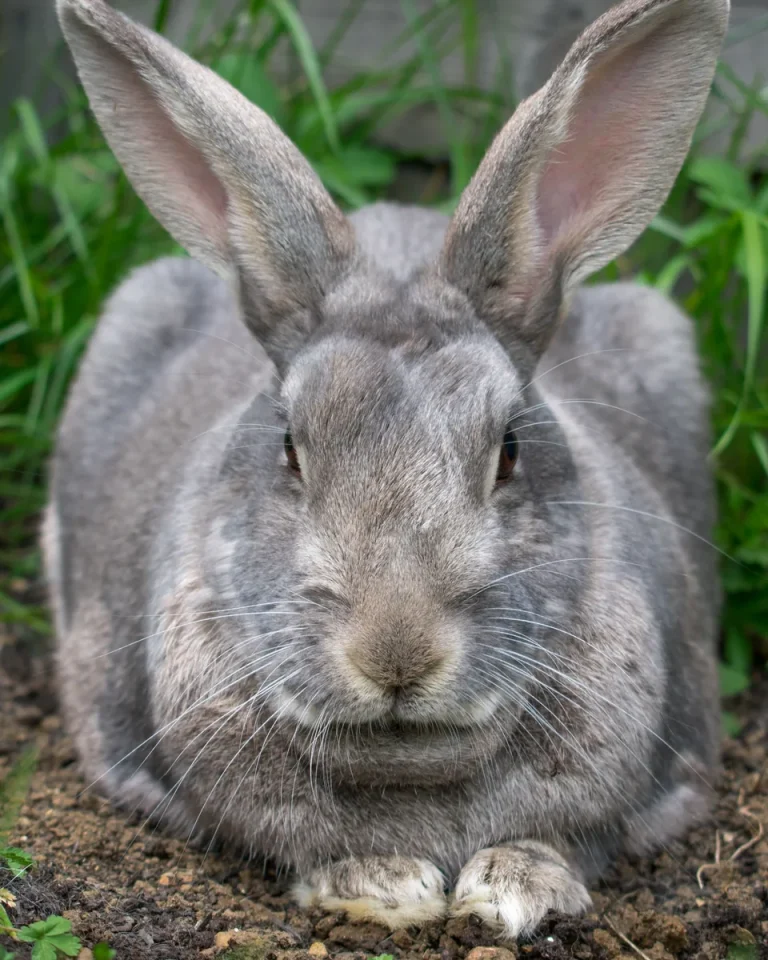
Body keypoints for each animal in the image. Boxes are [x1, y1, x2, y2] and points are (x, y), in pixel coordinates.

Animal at [46, 0, 729, 940]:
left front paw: (513, 889)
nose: (396, 654)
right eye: (290, 447)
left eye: (508, 450)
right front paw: (385, 883)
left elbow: (568, 839)